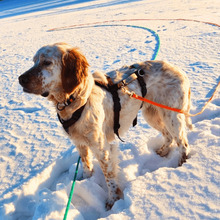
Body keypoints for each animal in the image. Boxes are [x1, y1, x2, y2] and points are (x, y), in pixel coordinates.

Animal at [18, 42, 192, 209]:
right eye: (34, 61)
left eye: (47, 62)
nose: (20, 79)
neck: (76, 101)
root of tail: (181, 71)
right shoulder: (80, 143)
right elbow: (86, 165)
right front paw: (87, 180)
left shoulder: (101, 147)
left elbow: (109, 177)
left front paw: (112, 201)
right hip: (153, 115)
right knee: (168, 136)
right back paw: (163, 152)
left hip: (171, 116)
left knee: (182, 142)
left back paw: (181, 165)